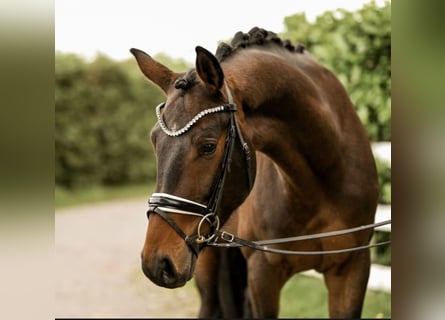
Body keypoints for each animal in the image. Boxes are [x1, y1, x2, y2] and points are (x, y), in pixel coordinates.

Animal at [131, 27, 378, 318]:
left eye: (208, 146)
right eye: (154, 141)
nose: (157, 262)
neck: (322, 184)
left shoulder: (353, 267)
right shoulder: (263, 271)